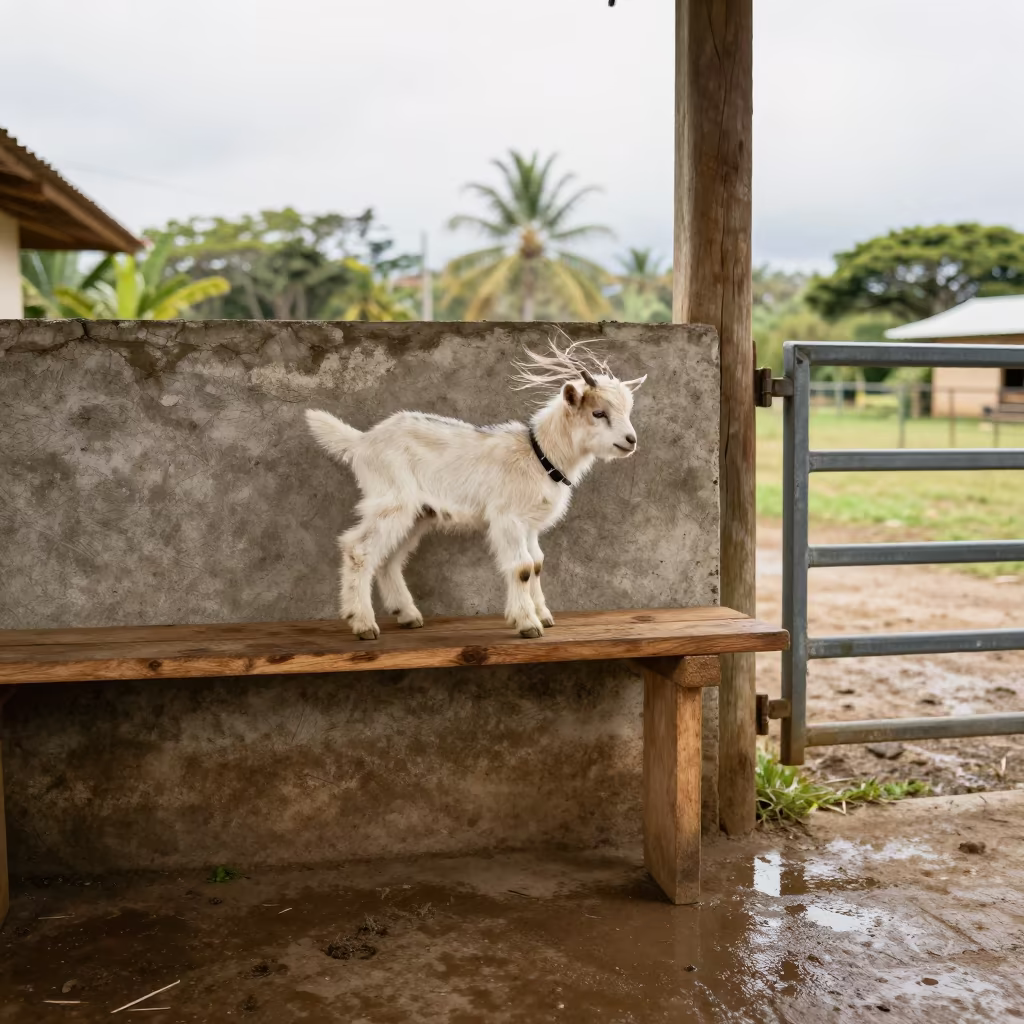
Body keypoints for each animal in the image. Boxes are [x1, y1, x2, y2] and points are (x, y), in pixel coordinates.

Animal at [305, 340, 646, 640]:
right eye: (598, 413)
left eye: (627, 411)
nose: (631, 440)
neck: (539, 454)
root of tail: (362, 442)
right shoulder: (508, 518)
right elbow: (522, 567)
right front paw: (527, 623)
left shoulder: (530, 524)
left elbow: (537, 563)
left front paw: (543, 615)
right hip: (391, 501)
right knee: (359, 550)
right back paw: (363, 623)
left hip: (418, 513)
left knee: (389, 558)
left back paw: (408, 615)